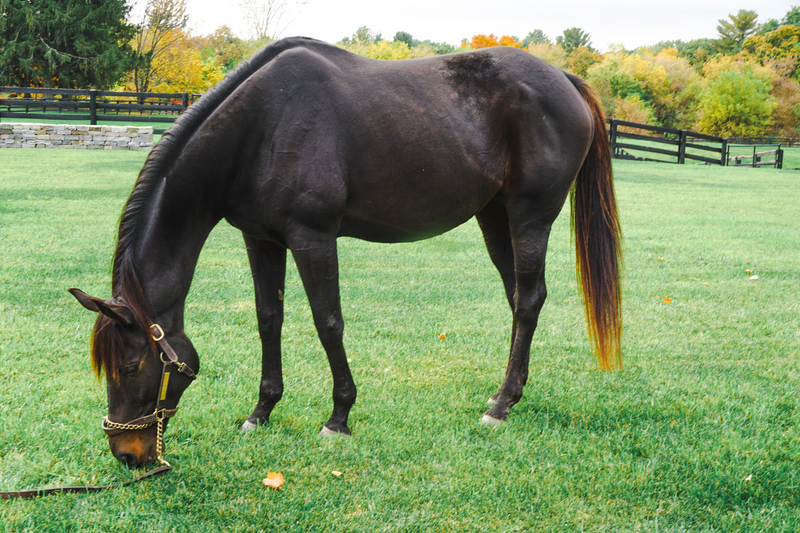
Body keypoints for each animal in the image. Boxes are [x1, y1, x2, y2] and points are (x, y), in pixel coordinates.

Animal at [69, 37, 620, 466]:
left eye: (132, 367)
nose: (127, 455)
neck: (262, 124)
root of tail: (564, 79)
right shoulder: (261, 238)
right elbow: (269, 318)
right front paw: (262, 411)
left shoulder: (313, 237)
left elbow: (327, 321)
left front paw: (338, 417)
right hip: (495, 218)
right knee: (520, 298)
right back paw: (507, 393)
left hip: (530, 218)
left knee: (528, 301)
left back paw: (501, 406)